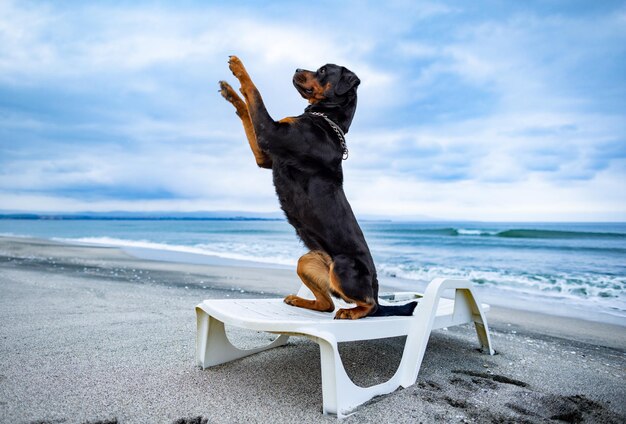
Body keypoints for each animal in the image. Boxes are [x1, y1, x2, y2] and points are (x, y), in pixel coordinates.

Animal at [219, 56, 414, 320]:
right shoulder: (265, 155)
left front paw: (238, 67)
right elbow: (245, 109)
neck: (326, 119)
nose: (296, 68)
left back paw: (350, 312)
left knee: (369, 305)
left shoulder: (270, 132)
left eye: (322, 71)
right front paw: (230, 92)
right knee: (327, 303)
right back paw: (299, 300)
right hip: (307, 260)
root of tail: (375, 287)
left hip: (343, 266)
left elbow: (254, 91)